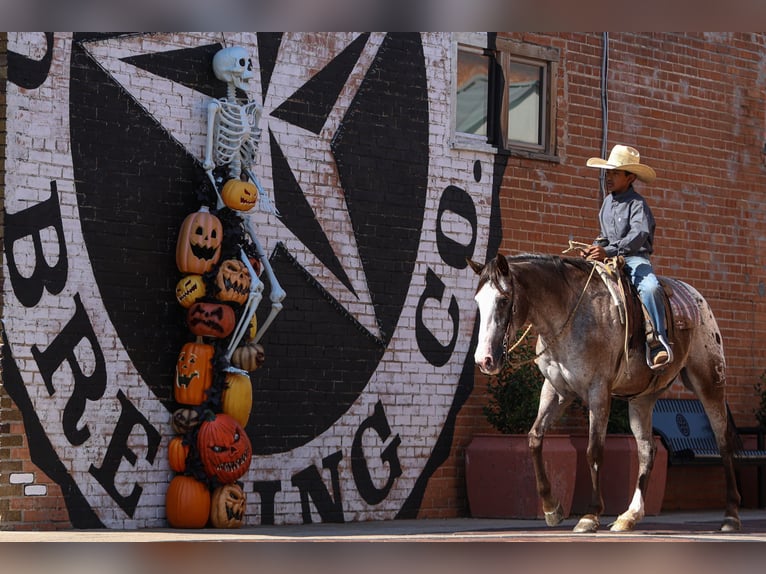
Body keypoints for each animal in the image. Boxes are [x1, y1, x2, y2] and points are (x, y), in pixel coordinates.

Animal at [468, 254, 744, 532]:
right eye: (478, 301)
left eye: (504, 300)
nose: (484, 360)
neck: (569, 314)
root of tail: (697, 298)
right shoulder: (556, 389)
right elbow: (535, 438)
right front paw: (551, 508)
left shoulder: (598, 390)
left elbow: (594, 450)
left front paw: (590, 515)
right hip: (642, 400)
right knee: (647, 450)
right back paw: (629, 516)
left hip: (709, 383)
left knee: (723, 442)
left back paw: (731, 516)